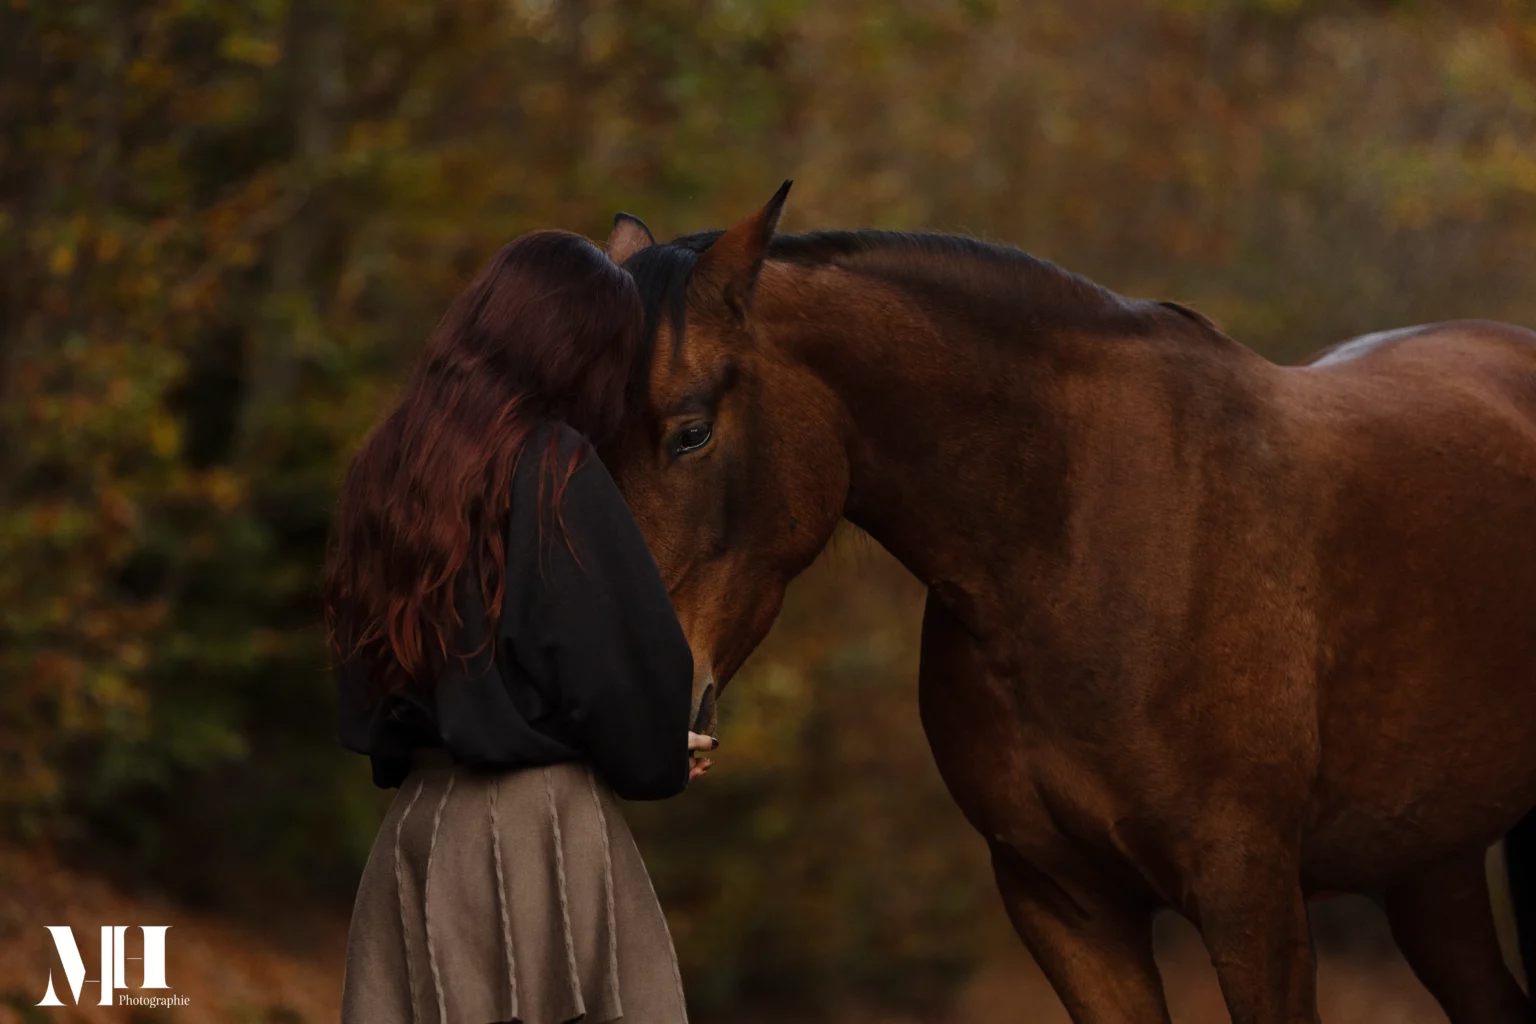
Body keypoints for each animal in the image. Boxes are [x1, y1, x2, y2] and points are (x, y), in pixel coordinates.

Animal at [599, 182, 1536, 1023]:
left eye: (691, 432)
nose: (639, 698)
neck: (1073, 542)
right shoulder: (1066, 907)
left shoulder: (1252, 898)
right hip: (1431, 866)